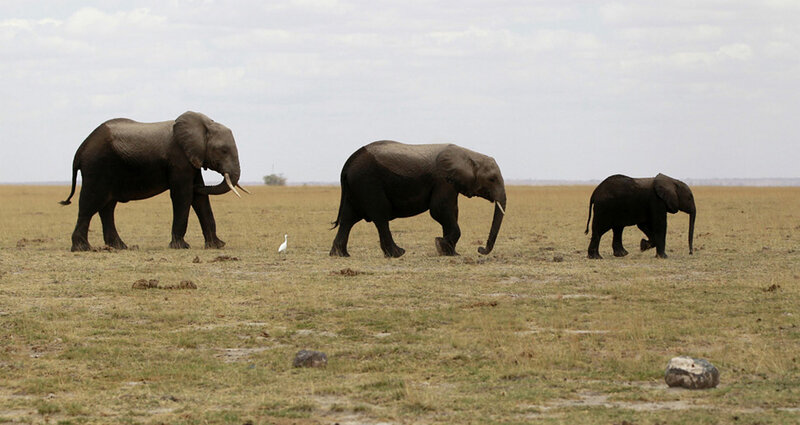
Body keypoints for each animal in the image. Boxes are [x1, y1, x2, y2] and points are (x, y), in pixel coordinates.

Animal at [60, 111, 248, 252]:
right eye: (223, 150)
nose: (199, 185)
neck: (204, 125)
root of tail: (81, 149)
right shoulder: (179, 159)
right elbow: (183, 195)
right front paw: (181, 247)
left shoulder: (193, 159)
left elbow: (199, 199)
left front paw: (217, 245)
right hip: (97, 166)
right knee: (90, 204)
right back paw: (82, 248)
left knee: (107, 207)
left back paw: (120, 247)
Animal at [329, 141, 506, 258]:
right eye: (492, 179)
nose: (480, 250)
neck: (469, 155)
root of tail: (347, 164)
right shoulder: (442, 181)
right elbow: (439, 210)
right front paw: (440, 245)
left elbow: (451, 212)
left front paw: (451, 253)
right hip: (367, 183)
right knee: (380, 216)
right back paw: (398, 253)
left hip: (356, 188)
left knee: (348, 219)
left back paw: (340, 255)